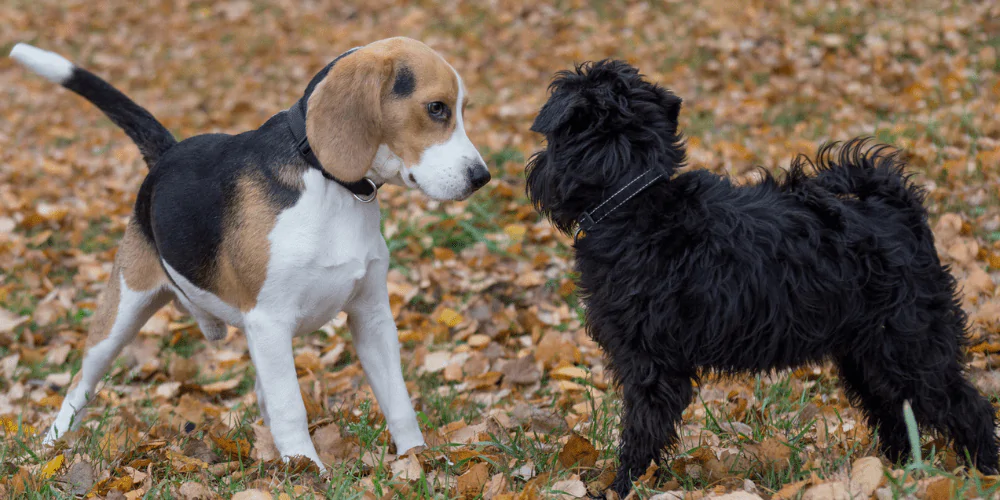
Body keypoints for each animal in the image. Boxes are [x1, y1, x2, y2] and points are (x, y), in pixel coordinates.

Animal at [528, 60, 996, 494]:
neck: (632, 198)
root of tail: (898, 206)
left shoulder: (650, 366)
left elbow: (641, 429)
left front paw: (623, 485)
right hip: (868, 355)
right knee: (896, 412)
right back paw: (888, 473)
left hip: (909, 346)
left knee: (967, 407)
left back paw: (983, 472)